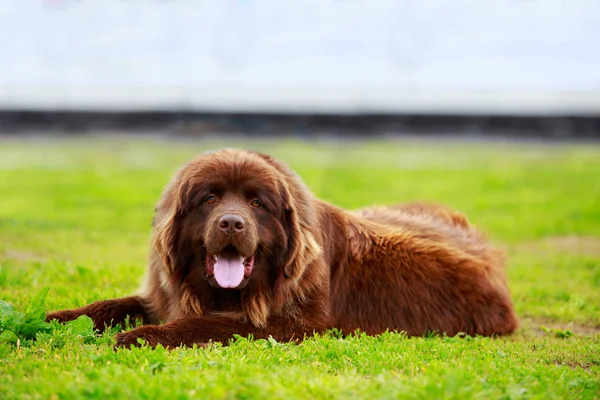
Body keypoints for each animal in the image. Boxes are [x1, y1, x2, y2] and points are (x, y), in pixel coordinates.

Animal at [44, 148, 516, 348]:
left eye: (257, 203)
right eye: (209, 198)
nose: (232, 222)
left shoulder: (288, 323)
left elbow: (204, 324)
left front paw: (141, 336)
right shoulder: (163, 295)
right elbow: (109, 305)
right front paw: (53, 319)